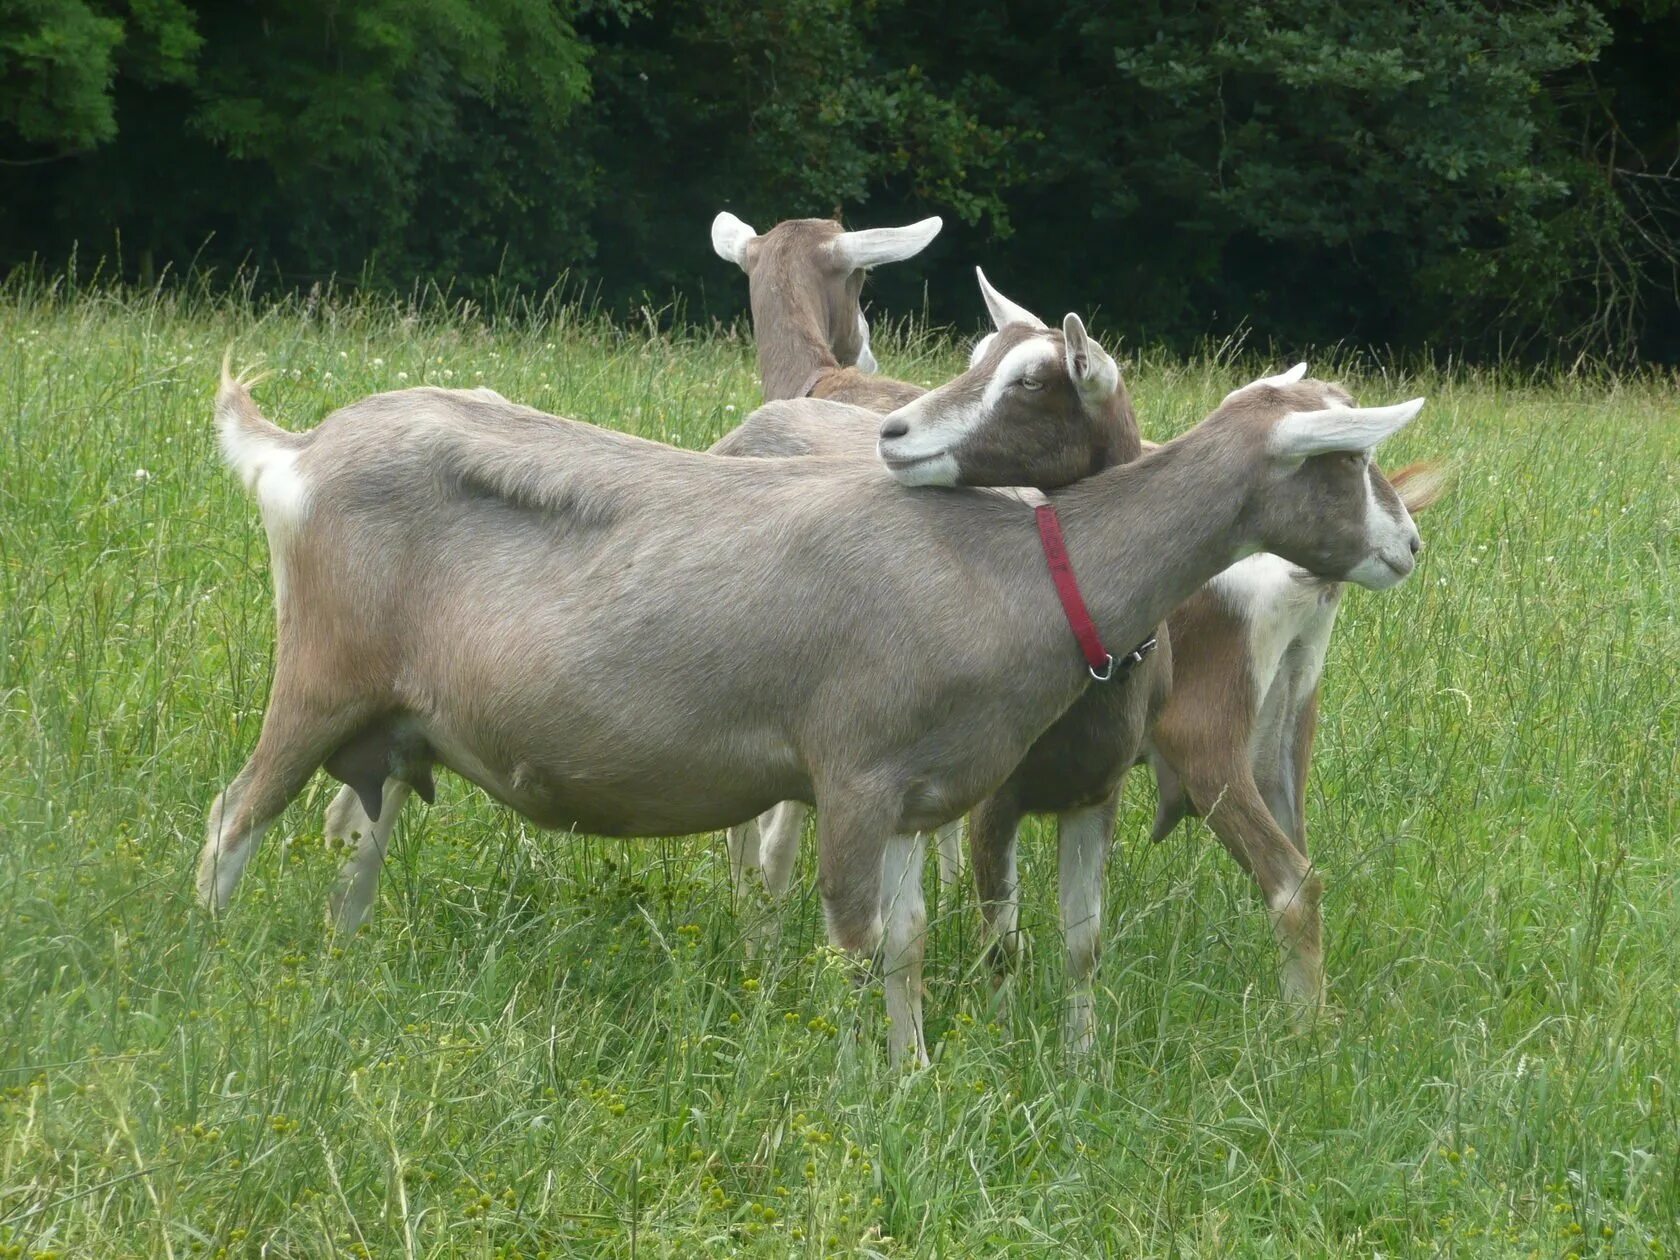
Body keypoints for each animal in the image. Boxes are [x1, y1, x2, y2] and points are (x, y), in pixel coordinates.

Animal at [203, 337, 1424, 1068]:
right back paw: (203, 962)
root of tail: (297, 452)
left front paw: (916, 1074)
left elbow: (911, 944)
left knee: (360, 839)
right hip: (319, 676)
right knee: (232, 817)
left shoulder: (921, 796)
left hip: (392, 725)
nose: (1409, 546)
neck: (1028, 567)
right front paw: (848, 1079)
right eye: (1345, 458)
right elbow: (854, 942)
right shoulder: (855, 775)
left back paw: (343, 966)